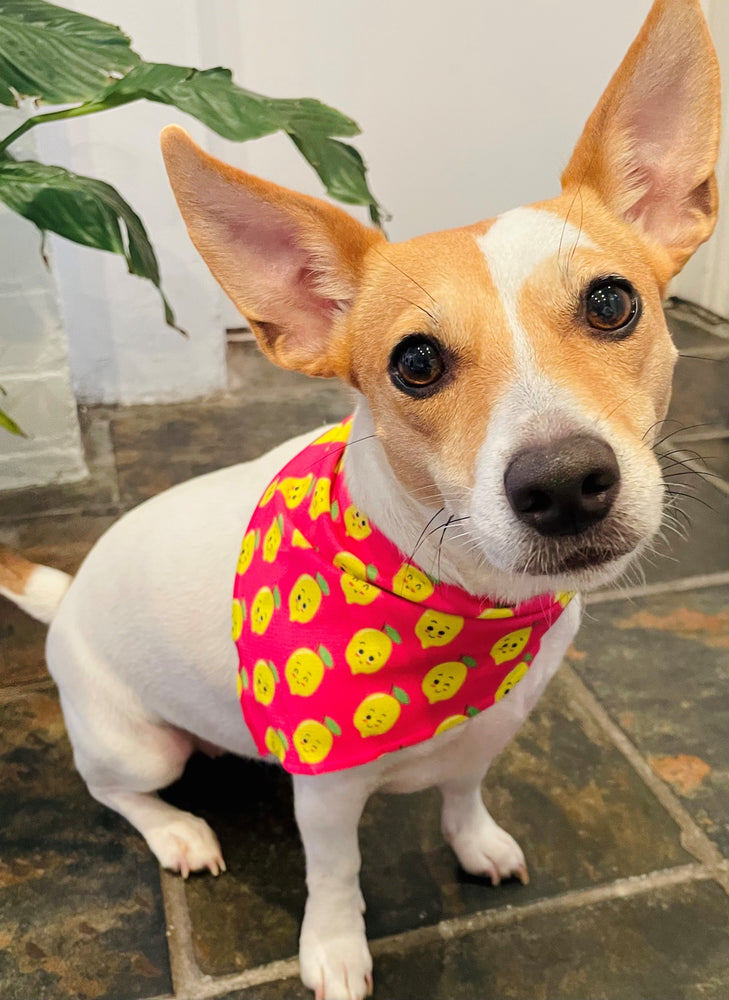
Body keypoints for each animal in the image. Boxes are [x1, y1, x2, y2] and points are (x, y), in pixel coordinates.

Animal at [0, 1, 716, 1000]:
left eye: (612, 304)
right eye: (414, 363)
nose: (562, 483)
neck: (464, 602)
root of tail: (63, 600)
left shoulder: (491, 730)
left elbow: (463, 794)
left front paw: (475, 841)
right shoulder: (327, 793)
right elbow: (334, 873)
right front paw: (334, 948)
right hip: (135, 742)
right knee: (115, 790)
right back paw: (178, 830)